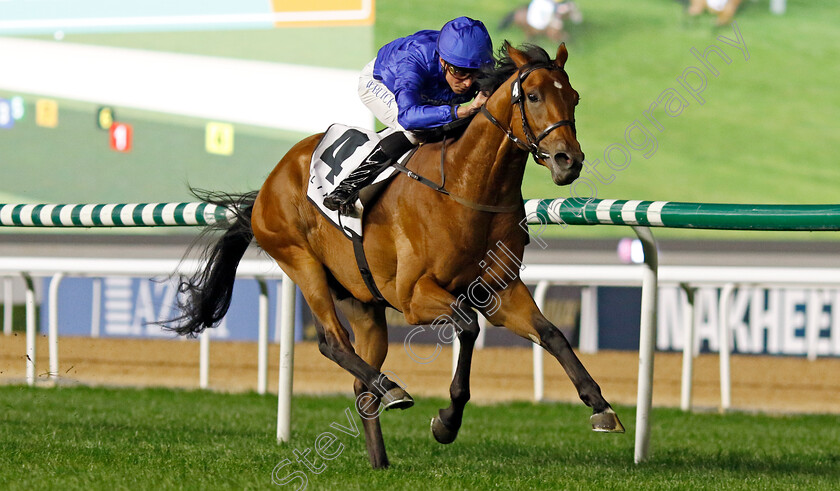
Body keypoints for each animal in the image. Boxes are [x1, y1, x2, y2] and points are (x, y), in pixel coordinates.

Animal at [166, 42, 624, 468]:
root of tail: (269, 182)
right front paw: (446, 422)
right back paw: (392, 389)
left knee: (359, 383)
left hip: (363, 300)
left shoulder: (500, 288)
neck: (468, 188)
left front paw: (600, 406)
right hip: (301, 262)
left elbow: (552, 334)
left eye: (574, 98)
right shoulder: (414, 296)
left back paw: (380, 456)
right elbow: (468, 326)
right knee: (332, 342)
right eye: (532, 96)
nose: (569, 160)